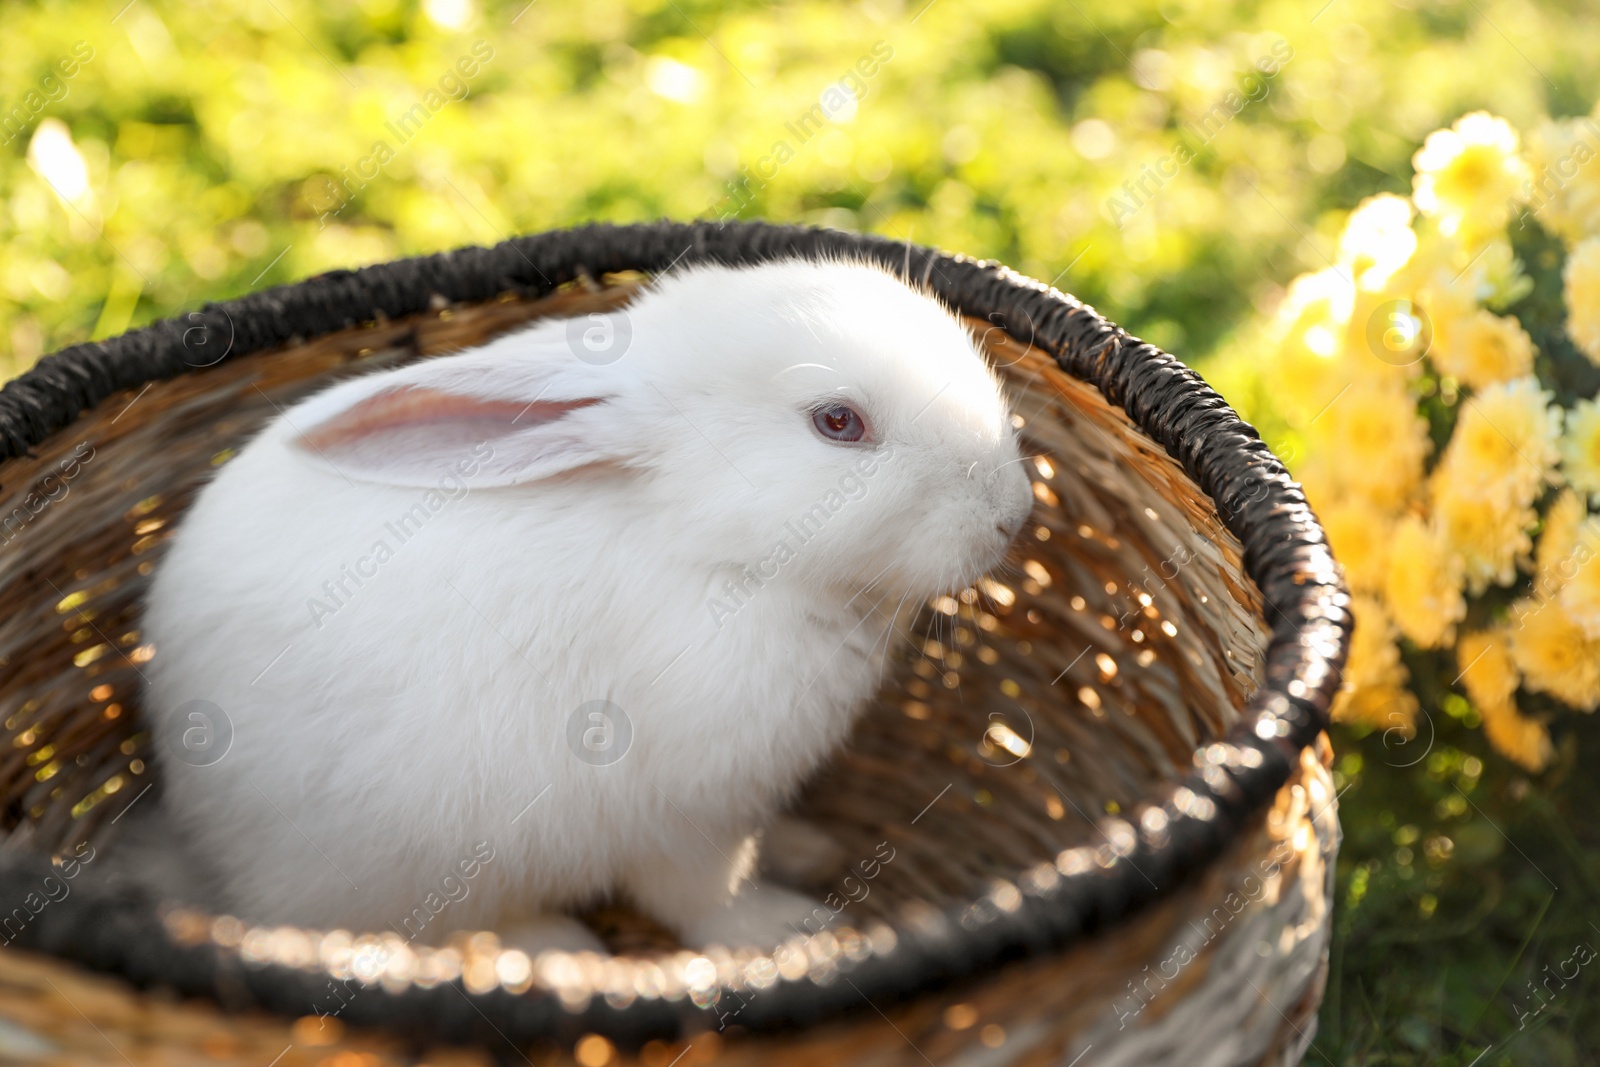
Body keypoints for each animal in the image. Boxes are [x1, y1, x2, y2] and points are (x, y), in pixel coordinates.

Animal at [140, 259, 1036, 953]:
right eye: (838, 422)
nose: (1012, 512)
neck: (716, 553)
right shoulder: (693, 814)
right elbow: (705, 896)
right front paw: (791, 932)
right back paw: (559, 944)